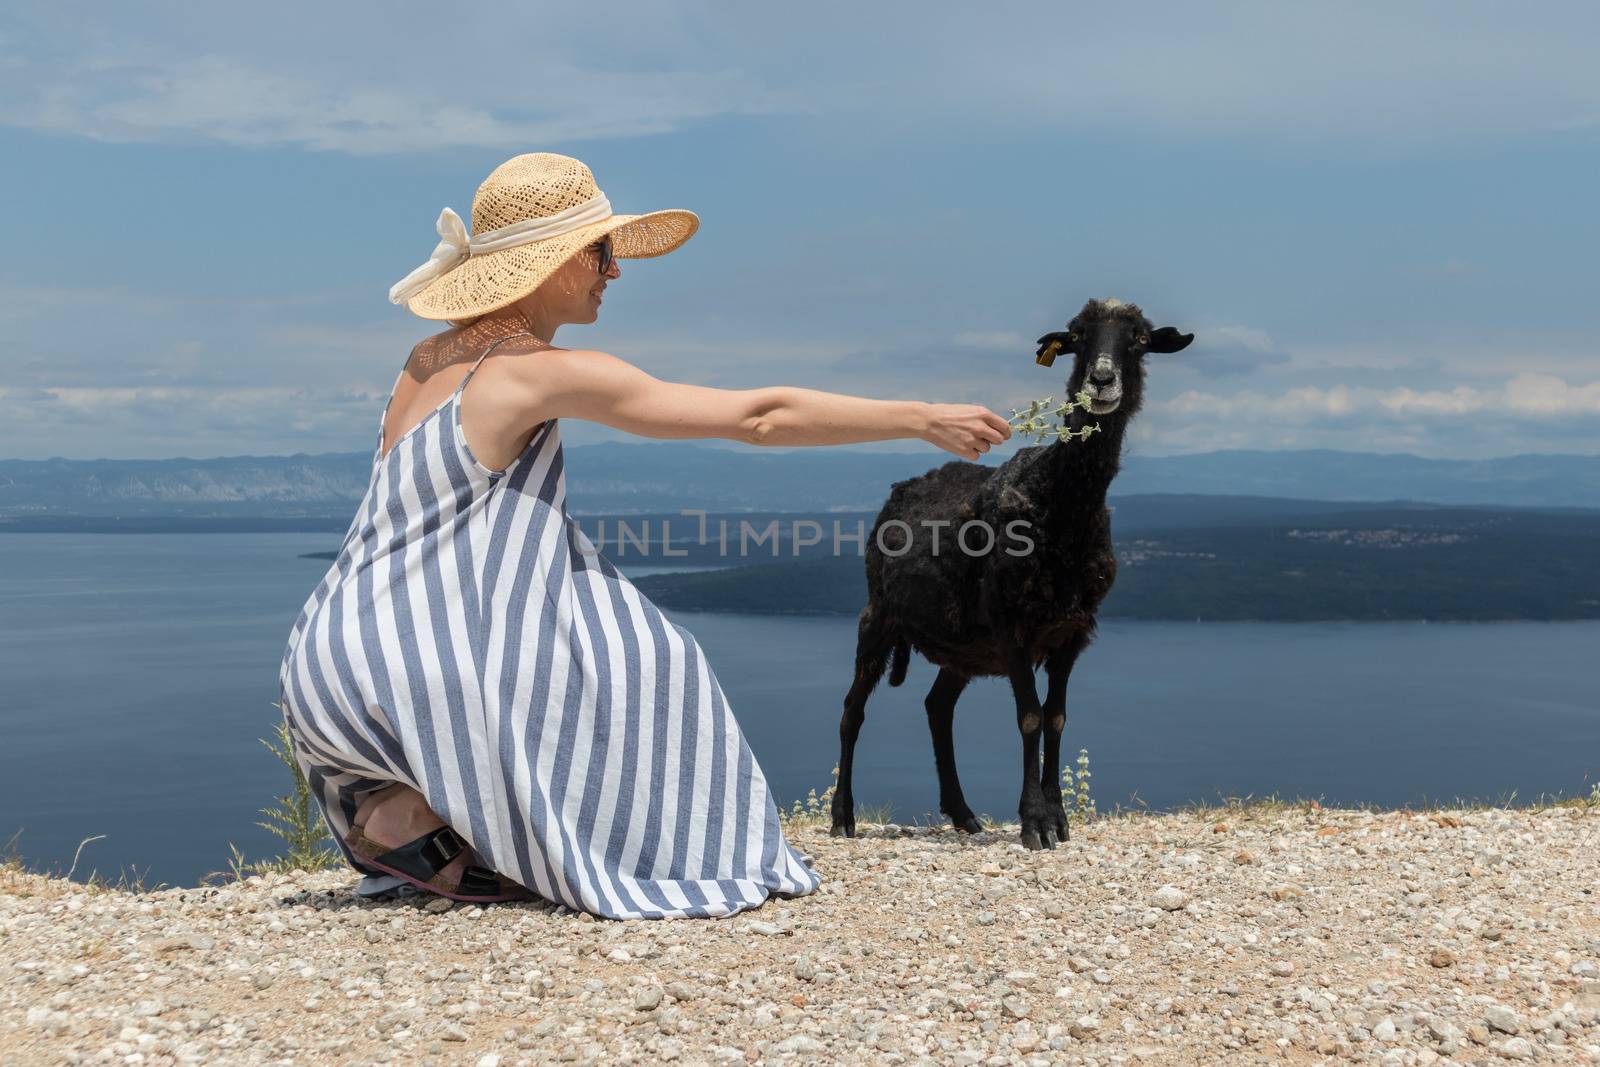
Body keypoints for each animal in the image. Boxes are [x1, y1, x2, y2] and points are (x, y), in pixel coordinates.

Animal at [832, 299, 1196, 851]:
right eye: (1077, 337)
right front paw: (1035, 822)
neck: (1061, 506)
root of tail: (905, 487)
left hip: (961, 644)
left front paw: (1059, 817)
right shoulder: (1012, 625)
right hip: (879, 613)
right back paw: (842, 816)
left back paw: (963, 815)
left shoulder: (1073, 629)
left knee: (937, 707)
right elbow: (1028, 717)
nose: (1101, 380)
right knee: (853, 709)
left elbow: (1057, 717)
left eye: (1139, 340)